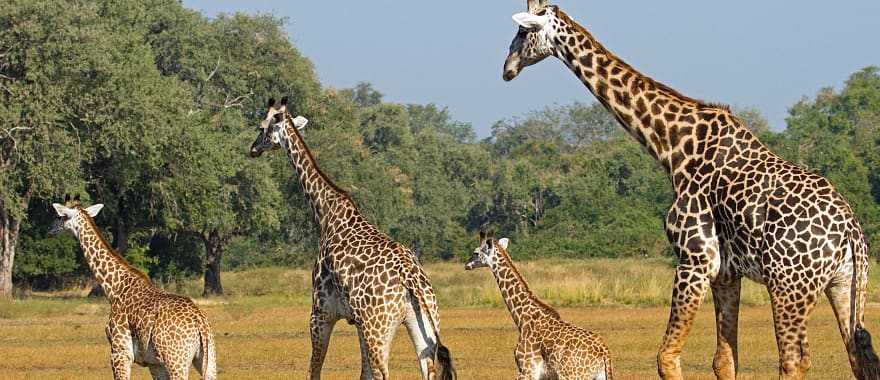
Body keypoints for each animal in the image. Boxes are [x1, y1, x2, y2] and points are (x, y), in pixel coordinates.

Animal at [51, 196, 217, 380]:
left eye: (61, 216)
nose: (51, 229)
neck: (114, 288)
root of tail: (201, 324)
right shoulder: (155, 364)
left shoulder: (120, 353)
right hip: (208, 360)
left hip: (176, 360)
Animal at [248, 96, 454, 378]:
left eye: (262, 127)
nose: (253, 149)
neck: (326, 215)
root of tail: (411, 279)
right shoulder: (357, 322)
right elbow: (362, 372)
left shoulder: (320, 312)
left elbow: (314, 370)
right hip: (421, 323)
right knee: (427, 369)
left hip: (378, 328)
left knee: (383, 372)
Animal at [468, 232, 612, 380]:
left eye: (475, 252)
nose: (467, 265)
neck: (522, 318)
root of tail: (604, 352)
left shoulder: (527, 369)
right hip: (598, 376)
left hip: (572, 375)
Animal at [502, 1, 880, 378]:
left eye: (522, 31)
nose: (507, 68)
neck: (672, 147)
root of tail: (851, 230)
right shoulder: (726, 274)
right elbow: (725, 359)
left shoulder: (693, 259)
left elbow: (666, 356)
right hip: (845, 283)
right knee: (861, 353)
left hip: (789, 286)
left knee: (794, 360)